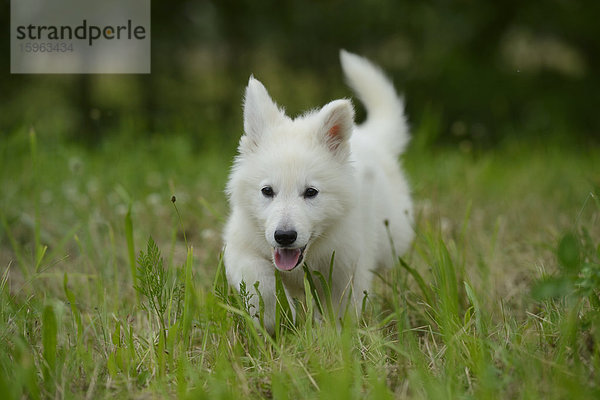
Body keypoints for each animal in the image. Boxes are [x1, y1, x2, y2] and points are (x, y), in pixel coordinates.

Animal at [223, 50, 414, 332]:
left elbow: (341, 310)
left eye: (311, 192)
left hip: (392, 237)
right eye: (267, 191)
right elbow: (261, 281)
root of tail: (369, 137)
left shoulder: (348, 266)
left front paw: (335, 337)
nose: (284, 236)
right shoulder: (241, 247)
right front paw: (275, 319)